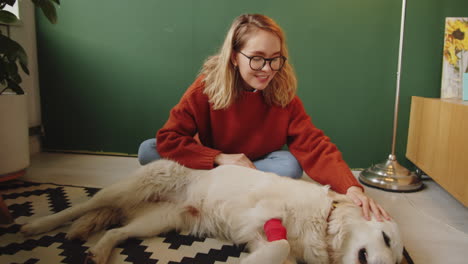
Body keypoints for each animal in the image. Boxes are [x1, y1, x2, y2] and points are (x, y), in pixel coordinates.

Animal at [20, 159, 404, 264]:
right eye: (386, 238)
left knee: (115, 230)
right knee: (85, 206)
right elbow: (279, 241)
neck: (323, 223)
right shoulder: (265, 213)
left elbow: (277, 250)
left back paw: (98, 251)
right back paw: (37, 225)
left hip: (158, 221)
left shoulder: (266, 241)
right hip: (130, 188)